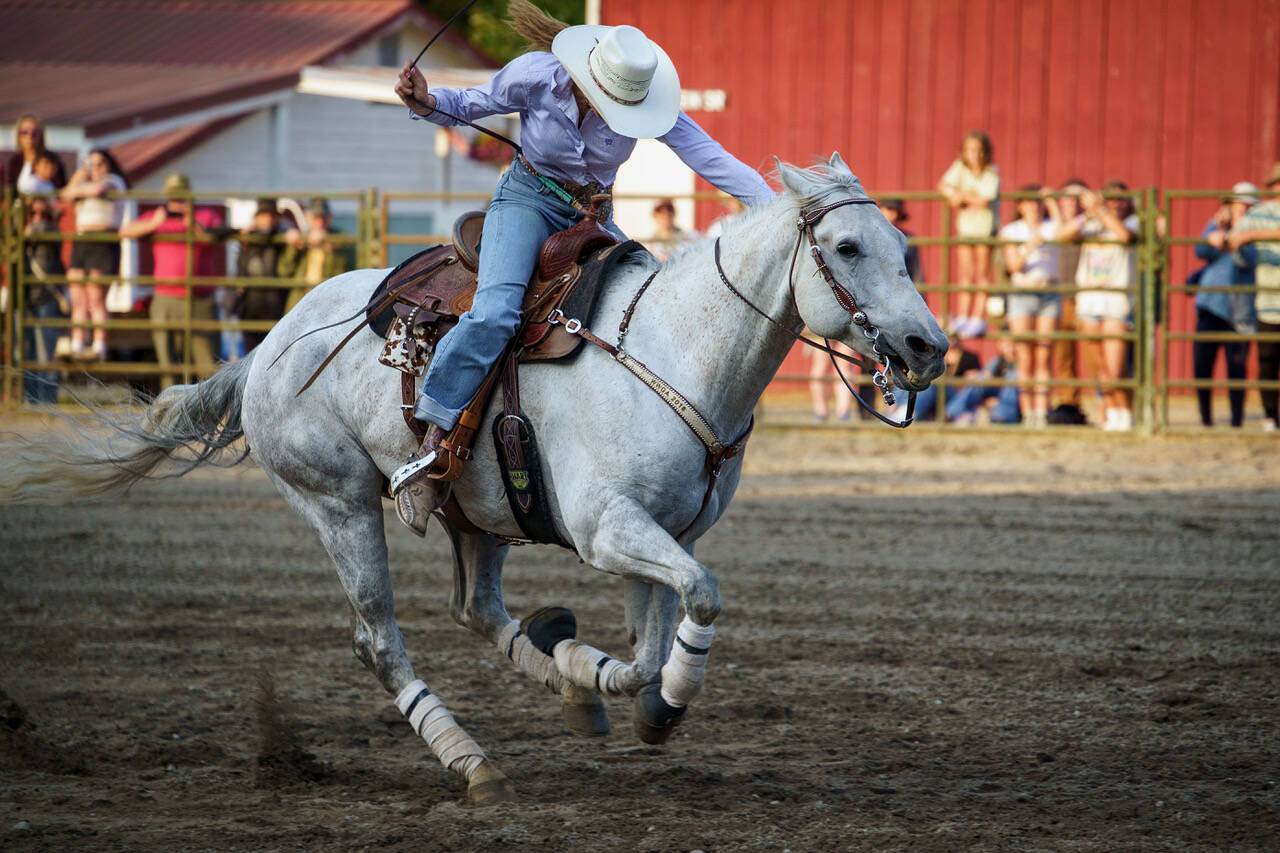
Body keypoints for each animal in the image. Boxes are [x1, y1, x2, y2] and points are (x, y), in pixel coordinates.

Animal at [0, 156, 942, 799]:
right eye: (848, 246)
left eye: (903, 245)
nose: (928, 345)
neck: (671, 349)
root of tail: (265, 345)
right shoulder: (608, 527)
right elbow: (701, 599)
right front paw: (666, 705)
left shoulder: (662, 533)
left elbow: (645, 647)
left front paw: (604, 684)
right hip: (340, 501)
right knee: (379, 639)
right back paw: (471, 761)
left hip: (478, 513)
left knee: (477, 609)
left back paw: (562, 675)